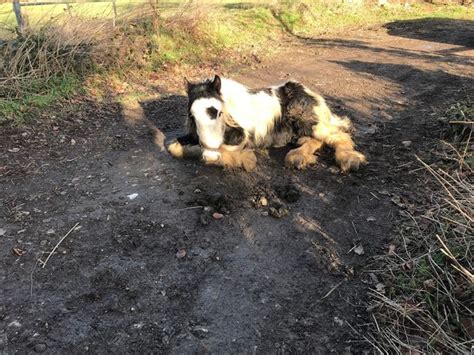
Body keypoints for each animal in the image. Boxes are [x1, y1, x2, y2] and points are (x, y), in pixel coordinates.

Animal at [168, 76, 368, 173]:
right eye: (191, 115)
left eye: (218, 112)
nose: (210, 152)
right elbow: (174, 147)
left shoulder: (241, 137)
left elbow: (221, 151)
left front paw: (247, 160)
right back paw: (298, 157)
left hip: (310, 123)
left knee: (338, 136)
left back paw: (349, 160)